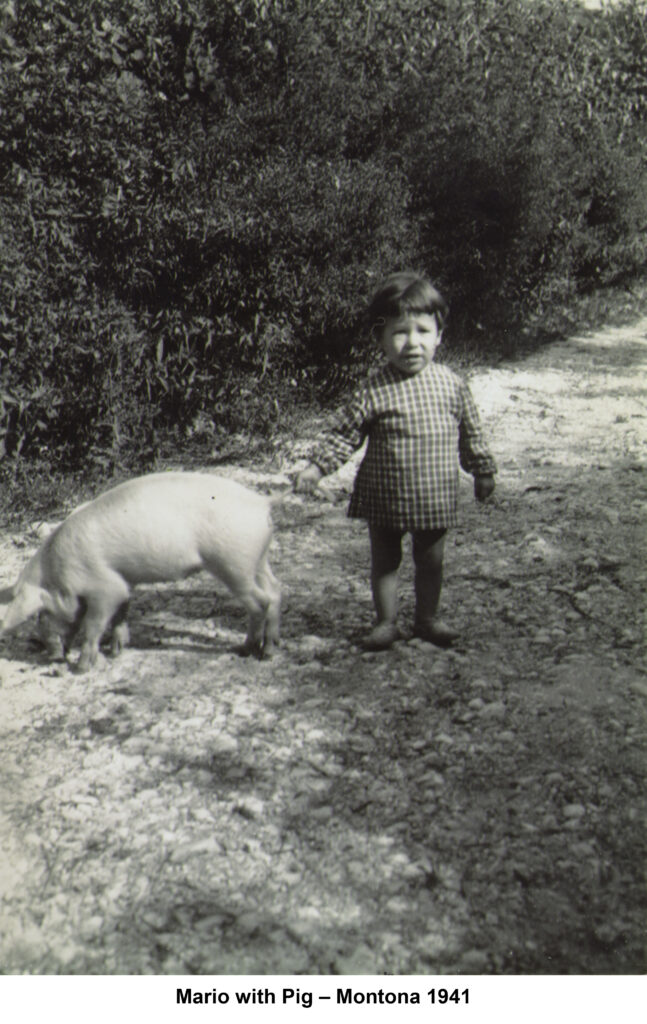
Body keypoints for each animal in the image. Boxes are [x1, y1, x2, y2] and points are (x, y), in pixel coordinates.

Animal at [0, 472, 280, 671]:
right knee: (275, 590)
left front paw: (81, 668)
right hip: (258, 560)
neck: (58, 574)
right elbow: (121, 612)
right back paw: (270, 648)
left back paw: (249, 650)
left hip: (233, 563)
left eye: (41, 614)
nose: (52, 656)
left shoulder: (103, 585)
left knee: (261, 602)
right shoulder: (125, 581)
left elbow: (94, 624)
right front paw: (117, 651)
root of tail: (263, 504)